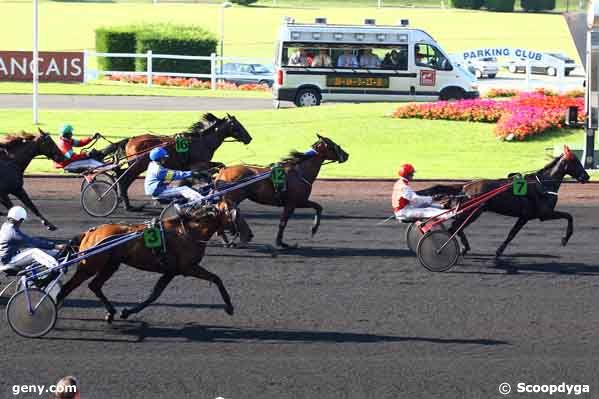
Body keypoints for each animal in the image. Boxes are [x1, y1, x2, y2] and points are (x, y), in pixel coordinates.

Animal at [56, 202, 239, 324]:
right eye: (234, 216)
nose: (239, 233)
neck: (188, 232)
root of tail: (90, 232)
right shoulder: (187, 268)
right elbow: (216, 278)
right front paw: (229, 307)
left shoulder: (171, 271)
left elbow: (154, 295)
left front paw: (127, 312)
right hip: (89, 266)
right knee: (67, 288)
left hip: (111, 265)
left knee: (94, 285)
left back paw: (111, 312)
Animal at [103, 113, 253, 211]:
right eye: (237, 125)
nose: (249, 138)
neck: (202, 141)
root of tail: (131, 139)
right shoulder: (198, 164)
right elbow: (200, 174)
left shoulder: (196, 165)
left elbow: (217, 167)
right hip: (137, 165)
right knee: (124, 179)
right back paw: (128, 205)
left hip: (134, 165)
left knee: (121, 175)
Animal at [214, 136, 350, 248]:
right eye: (333, 144)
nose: (347, 155)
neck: (299, 172)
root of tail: (223, 171)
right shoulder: (294, 202)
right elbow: (283, 222)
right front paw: (281, 242)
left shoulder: (299, 202)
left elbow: (318, 207)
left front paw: (313, 229)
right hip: (233, 198)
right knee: (222, 212)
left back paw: (226, 239)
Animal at [422, 146, 592, 256]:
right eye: (576, 162)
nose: (587, 176)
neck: (542, 184)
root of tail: (466, 186)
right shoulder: (544, 214)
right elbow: (569, 216)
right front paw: (565, 239)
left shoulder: (525, 217)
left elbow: (512, 234)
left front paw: (499, 251)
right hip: (473, 211)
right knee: (454, 228)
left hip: (469, 211)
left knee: (456, 226)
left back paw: (464, 247)